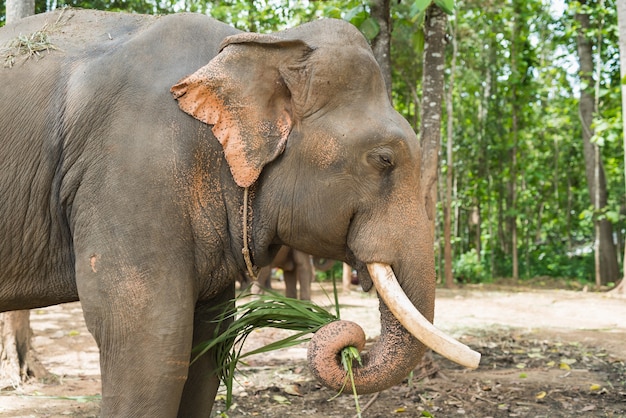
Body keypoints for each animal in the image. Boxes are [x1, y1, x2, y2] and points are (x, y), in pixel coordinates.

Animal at [1, 8, 478, 416]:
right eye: (383, 160)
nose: (351, 345)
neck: (259, 45)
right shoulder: (131, 167)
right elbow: (148, 331)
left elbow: (209, 336)